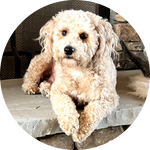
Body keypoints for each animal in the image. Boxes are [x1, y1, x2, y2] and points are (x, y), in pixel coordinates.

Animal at [21, 9, 119, 142]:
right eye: (64, 32)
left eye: (83, 35)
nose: (68, 49)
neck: (79, 70)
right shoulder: (59, 91)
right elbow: (64, 105)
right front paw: (70, 124)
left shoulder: (107, 98)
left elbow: (92, 112)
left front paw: (80, 130)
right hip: (45, 59)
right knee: (31, 76)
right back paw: (30, 87)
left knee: (46, 82)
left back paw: (46, 89)